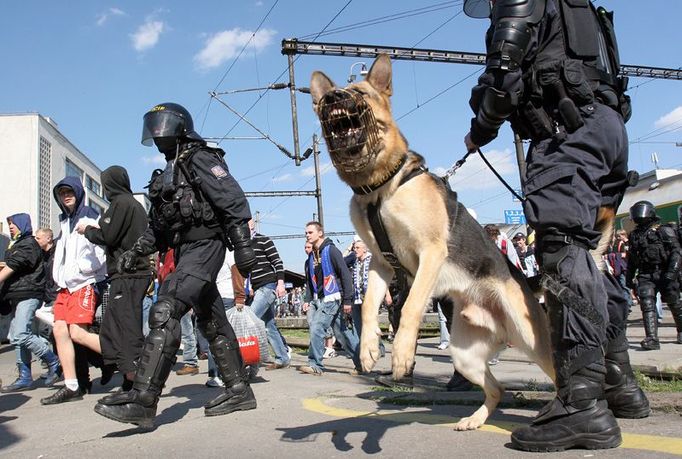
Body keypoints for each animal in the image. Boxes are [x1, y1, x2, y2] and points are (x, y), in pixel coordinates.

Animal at [310, 55, 556, 434]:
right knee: (496, 389)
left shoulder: (430, 253)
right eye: (331, 95)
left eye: (360, 92)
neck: (379, 187)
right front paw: (368, 348)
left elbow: (411, 306)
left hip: (531, 340)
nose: (333, 97)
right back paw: (475, 419)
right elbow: (367, 308)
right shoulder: (381, 262)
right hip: (465, 356)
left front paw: (401, 354)